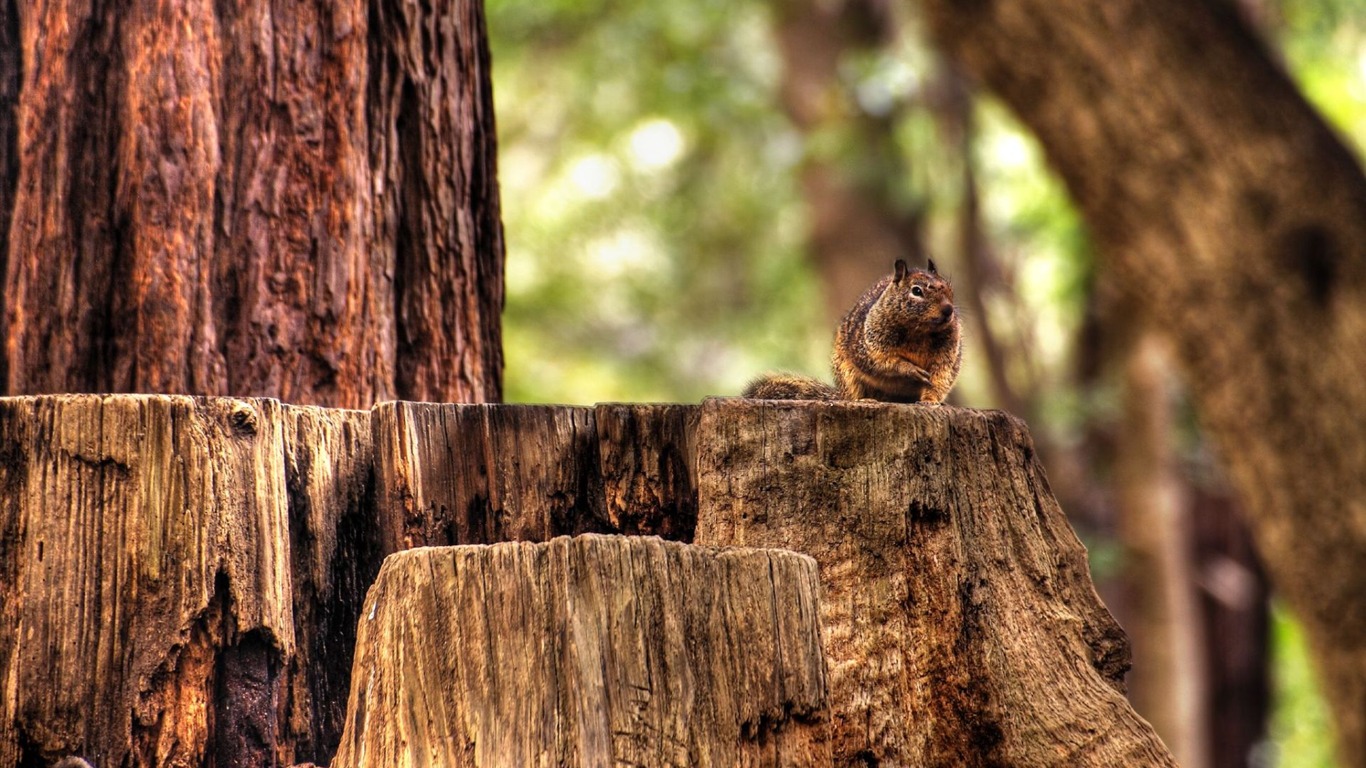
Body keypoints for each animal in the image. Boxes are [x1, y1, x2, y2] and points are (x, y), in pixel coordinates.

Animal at [748, 256, 961, 404]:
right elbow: (882, 361)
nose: (948, 310)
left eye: (950, 289)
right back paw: (864, 400)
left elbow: (940, 376)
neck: (920, 331)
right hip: (847, 374)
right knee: (853, 393)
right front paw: (909, 369)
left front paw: (930, 402)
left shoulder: (948, 353)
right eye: (916, 291)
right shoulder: (870, 344)